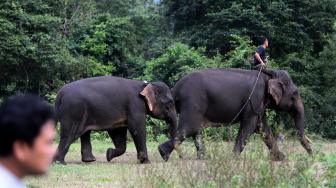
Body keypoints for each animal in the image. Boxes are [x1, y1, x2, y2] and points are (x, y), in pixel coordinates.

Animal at [159, 68, 312, 161]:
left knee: (195, 130)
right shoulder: (255, 99)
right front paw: (234, 157)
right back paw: (163, 154)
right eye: (295, 95)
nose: (312, 153)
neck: (268, 75)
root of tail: (175, 89)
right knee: (188, 128)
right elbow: (249, 126)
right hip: (193, 102)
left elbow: (262, 127)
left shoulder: (258, 105)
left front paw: (281, 158)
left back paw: (202, 158)